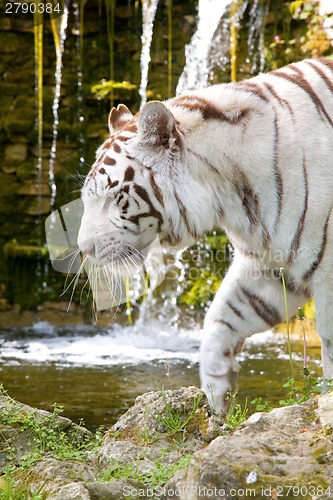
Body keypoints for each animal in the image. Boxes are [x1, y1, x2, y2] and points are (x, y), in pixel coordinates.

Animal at [77, 58, 332, 412]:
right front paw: (217, 394)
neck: (234, 195)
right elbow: (221, 319)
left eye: (113, 196)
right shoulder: (270, 264)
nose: (83, 248)